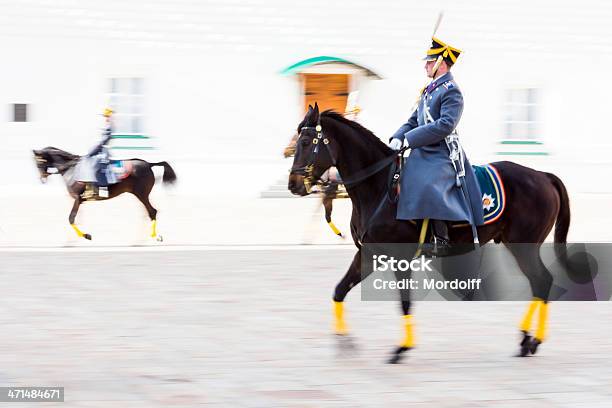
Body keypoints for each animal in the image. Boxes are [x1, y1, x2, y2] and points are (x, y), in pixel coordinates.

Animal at [32, 147, 177, 241]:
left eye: (39, 162)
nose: (42, 178)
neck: (71, 169)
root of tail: (149, 164)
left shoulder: (77, 199)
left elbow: (71, 218)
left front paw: (86, 236)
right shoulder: (79, 201)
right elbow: (75, 218)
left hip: (141, 194)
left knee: (152, 212)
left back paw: (154, 236)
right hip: (141, 194)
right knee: (148, 213)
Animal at [290, 104, 572, 364]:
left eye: (305, 142)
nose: (293, 185)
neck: (379, 187)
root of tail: (542, 175)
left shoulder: (400, 258)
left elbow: (404, 302)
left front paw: (402, 348)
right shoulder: (369, 254)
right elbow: (340, 290)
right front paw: (345, 341)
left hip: (524, 246)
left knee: (542, 280)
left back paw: (532, 339)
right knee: (539, 282)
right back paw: (527, 340)